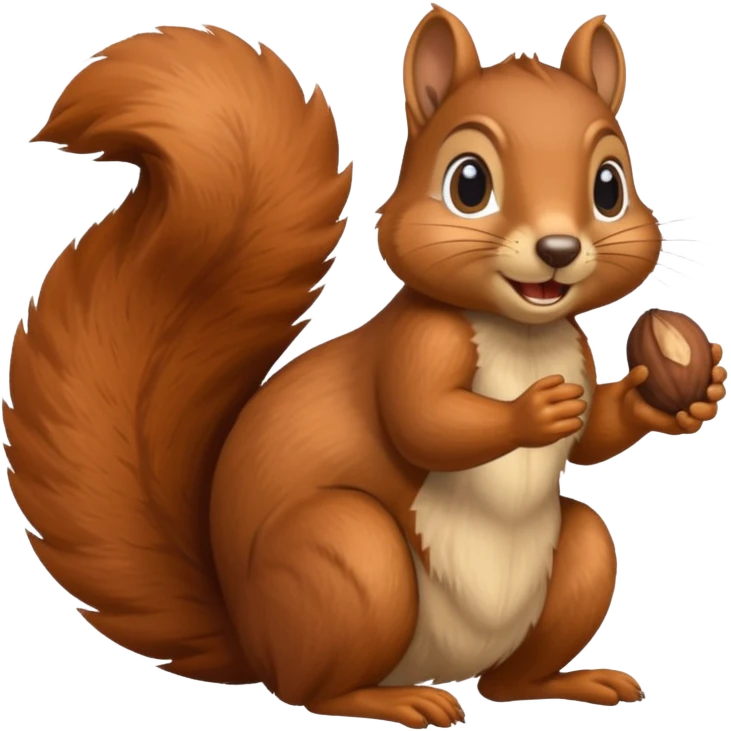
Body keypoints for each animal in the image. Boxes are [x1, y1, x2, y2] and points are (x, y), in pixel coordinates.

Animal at [6, 6, 727, 727]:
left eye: (609, 186)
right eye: (469, 183)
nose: (558, 248)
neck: (521, 332)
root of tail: (249, 638)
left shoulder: (573, 351)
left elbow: (593, 439)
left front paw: (682, 393)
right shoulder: (416, 346)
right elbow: (425, 423)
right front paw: (533, 410)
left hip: (572, 564)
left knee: (510, 676)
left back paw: (566, 681)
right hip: (349, 560)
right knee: (312, 690)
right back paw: (396, 700)